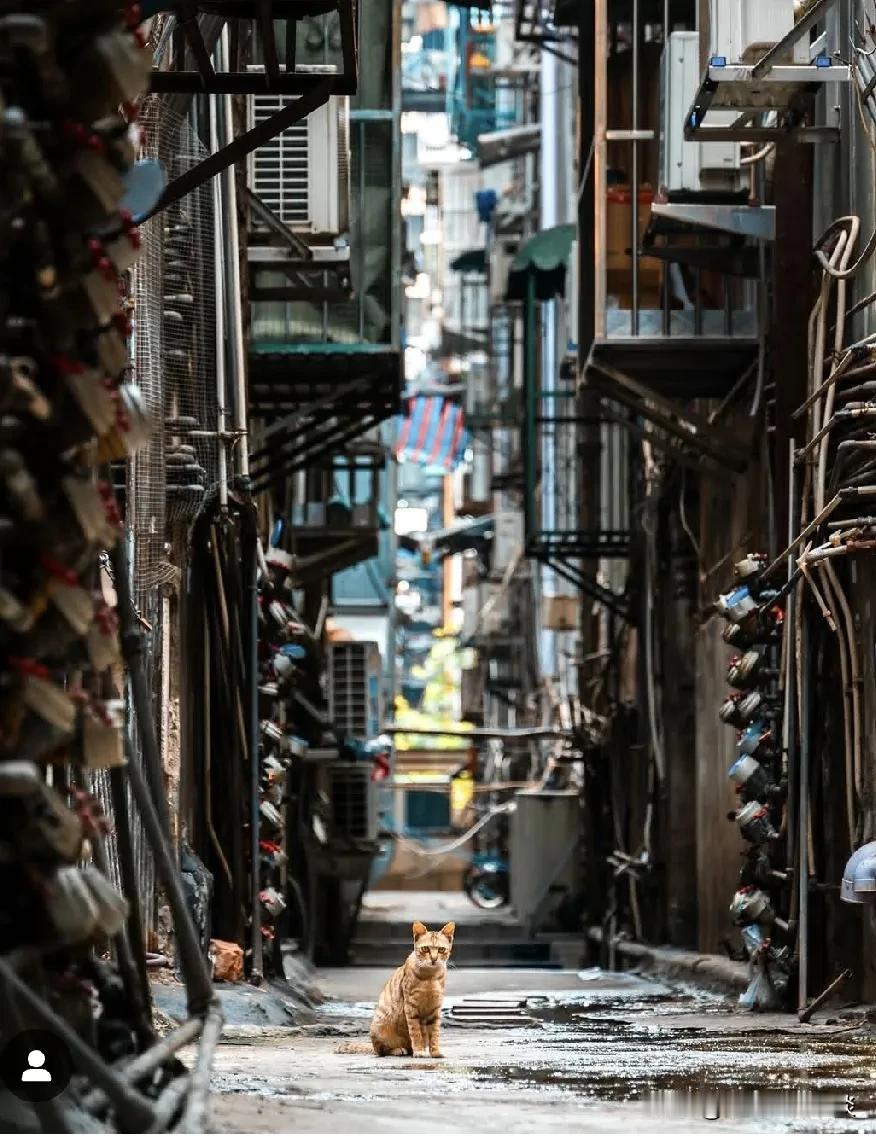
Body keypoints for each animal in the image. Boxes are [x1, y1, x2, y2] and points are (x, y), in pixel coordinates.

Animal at [368, 919, 455, 1051]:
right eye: (425, 949)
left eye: (441, 949)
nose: (434, 959)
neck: (430, 977)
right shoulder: (410, 1006)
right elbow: (415, 1031)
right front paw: (419, 1050)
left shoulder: (435, 1006)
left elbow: (434, 1033)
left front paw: (434, 1051)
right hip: (380, 1025)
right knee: (381, 1049)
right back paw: (398, 1050)